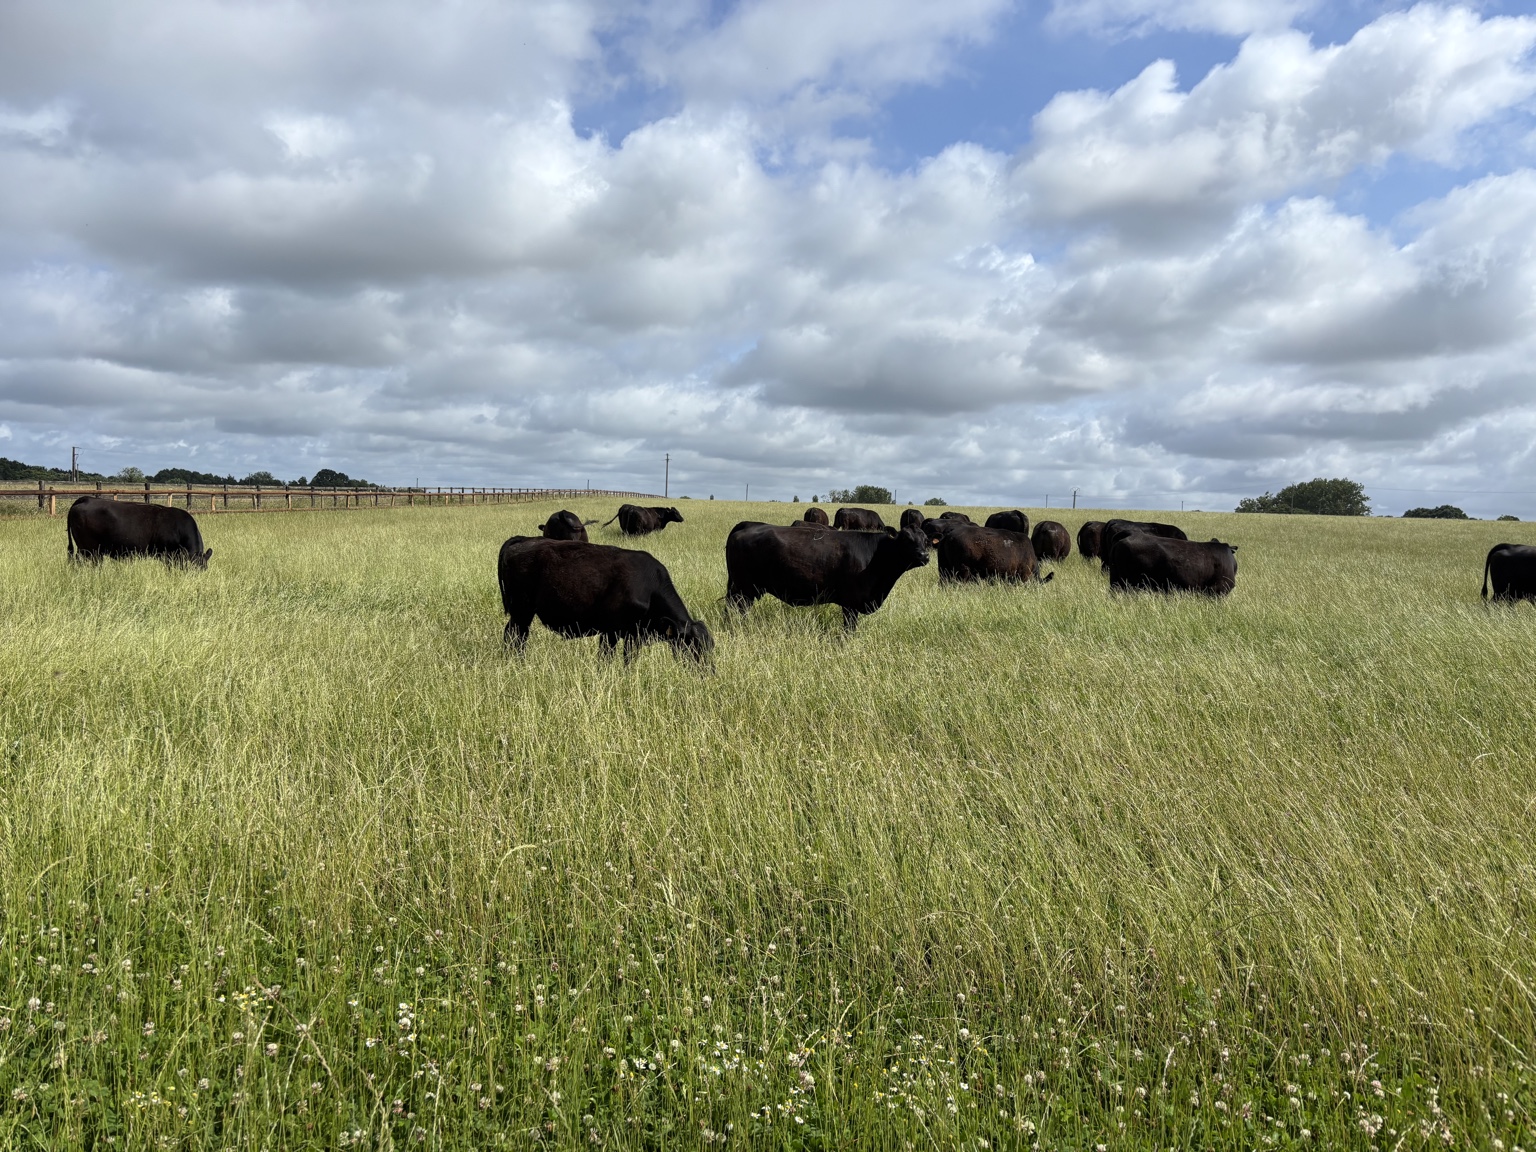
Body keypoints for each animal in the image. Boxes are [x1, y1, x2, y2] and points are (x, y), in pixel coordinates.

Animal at [498, 537, 713, 662]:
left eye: (710, 647)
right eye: (693, 647)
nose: (708, 673)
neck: (650, 588)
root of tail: (524, 540)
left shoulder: (633, 635)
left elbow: (628, 660)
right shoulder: (611, 631)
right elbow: (606, 658)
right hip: (522, 611)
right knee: (516, 636)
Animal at [725, 521, 930, 630]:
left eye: (926, 540)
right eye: (906, 539)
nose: (924, 556)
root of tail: (749, 525)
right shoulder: (851, 603)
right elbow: (849, 630)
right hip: (744, 589)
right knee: (738, 610)